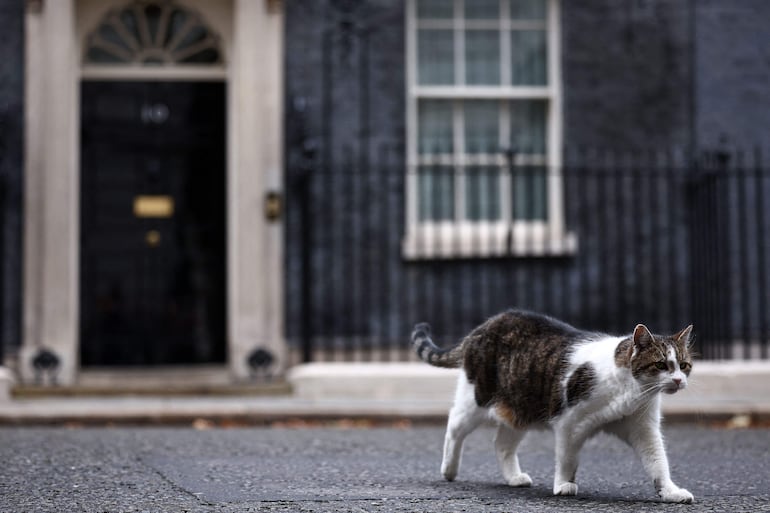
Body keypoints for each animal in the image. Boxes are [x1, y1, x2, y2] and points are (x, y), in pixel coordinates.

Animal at [412, 310, 692, 502]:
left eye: (684, 365)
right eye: (660, 365)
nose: (679, 380)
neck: (631, 391)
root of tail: (483, 327)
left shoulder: (643, 428)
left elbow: (657, 461)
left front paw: (670, 491)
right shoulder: (569, 422)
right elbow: (567, 458)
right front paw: (564, 485)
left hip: (519, 409)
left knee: (502, 444)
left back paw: (514, 478)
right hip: (477, 399)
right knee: (454, 426)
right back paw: (449, 469)